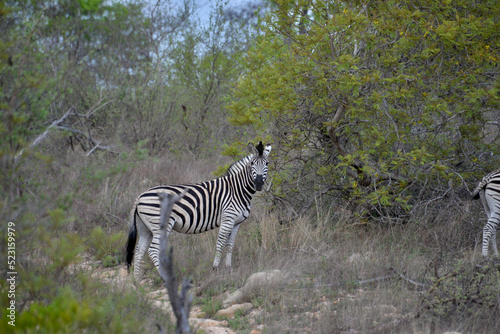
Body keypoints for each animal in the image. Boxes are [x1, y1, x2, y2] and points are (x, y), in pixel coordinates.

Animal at [127, 141, 272, 280]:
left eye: (267, 163)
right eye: (252, 163)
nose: (259, 183)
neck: (237, 190)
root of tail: (140, 196)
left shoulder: (236, 223)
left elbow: (230, 245)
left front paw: (229, 270)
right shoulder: (227, 219)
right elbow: (220, 243)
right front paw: (215, 269)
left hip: (145, 227)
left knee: (139, 251)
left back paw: (137, 281)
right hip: (160, 225)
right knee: (153, 250)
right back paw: (165, 277)